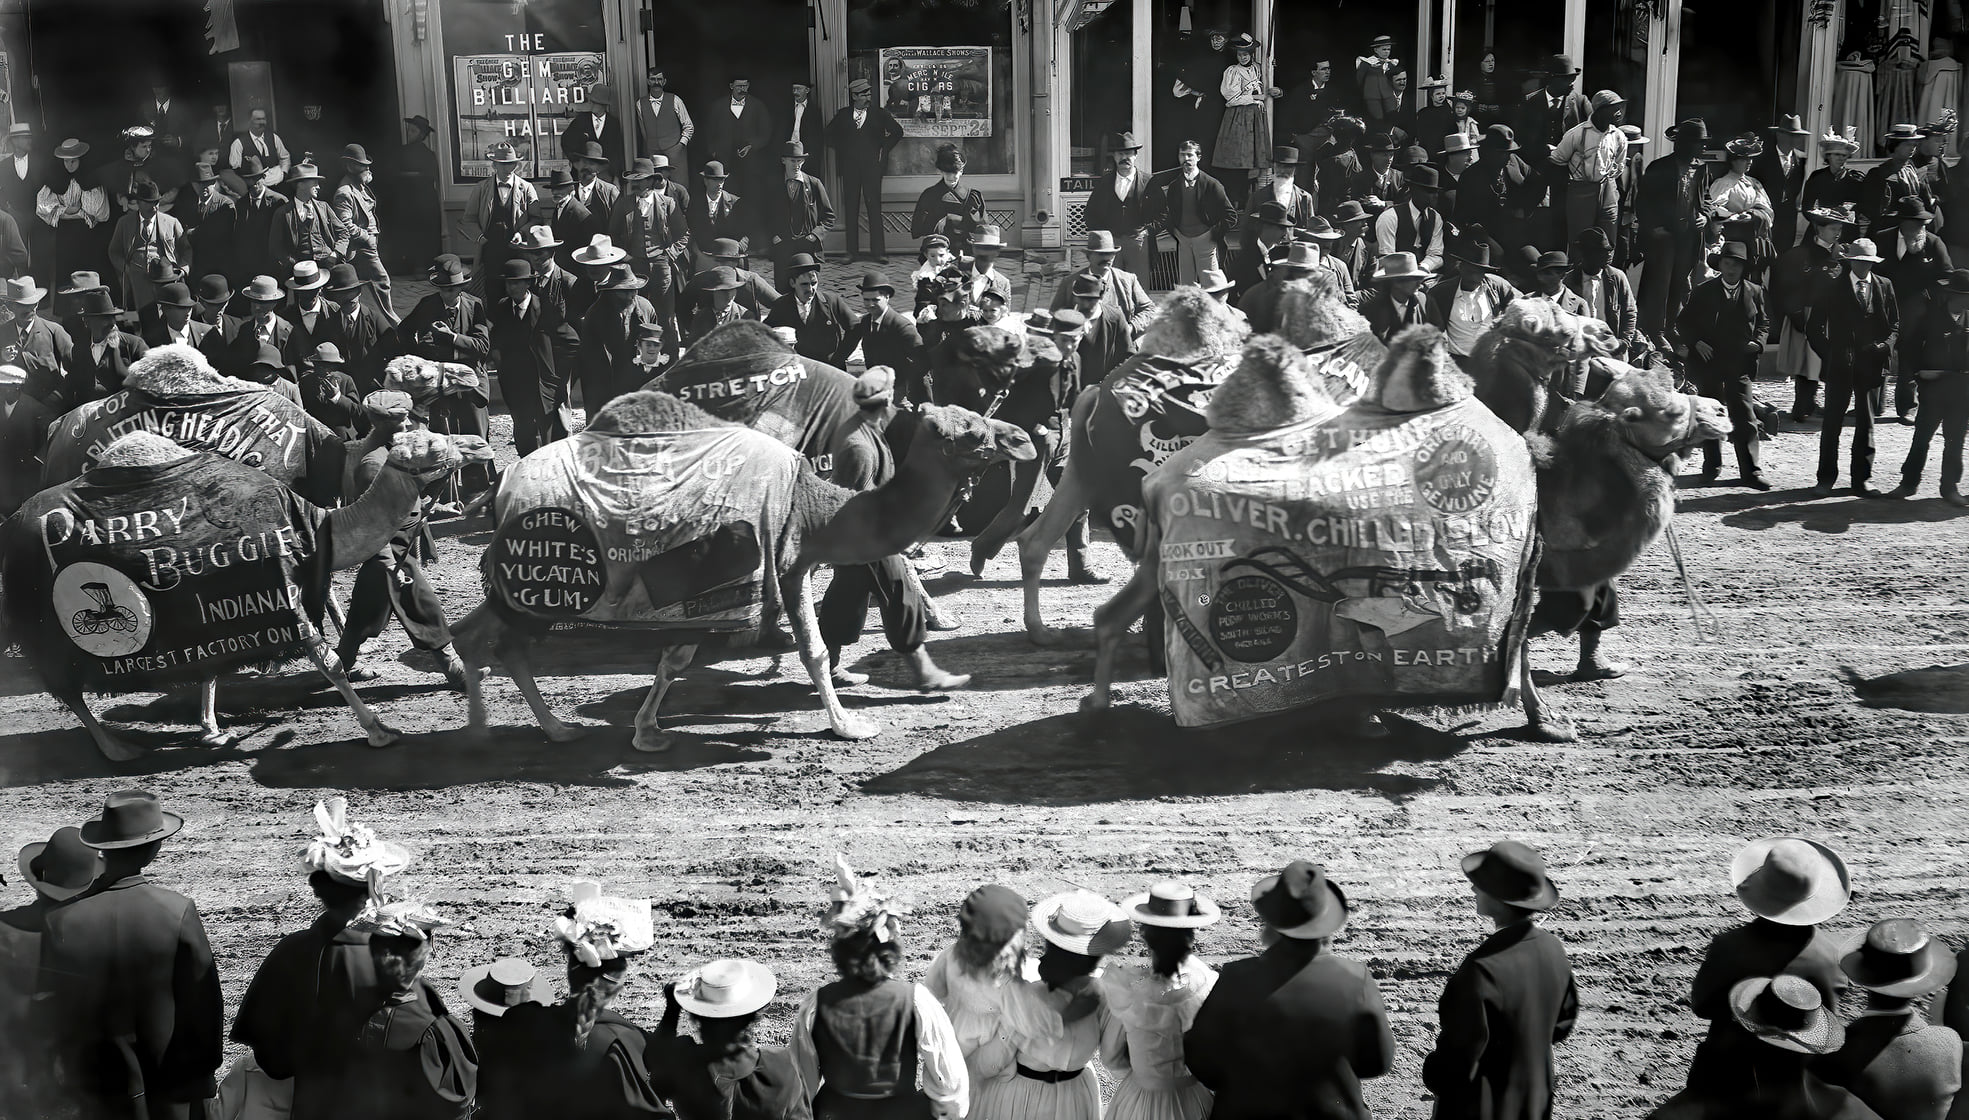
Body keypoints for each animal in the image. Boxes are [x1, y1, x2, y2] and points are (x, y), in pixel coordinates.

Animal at [0, 427, 476, 759]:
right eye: (434, 446)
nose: (475, 444)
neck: (317, 526)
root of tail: (12, 523)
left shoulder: (216, 606)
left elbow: (211, 665)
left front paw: (212, 729)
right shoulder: (280, 591)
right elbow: (330, 663)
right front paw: (379, 731)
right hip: (45, 622)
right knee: (67, 687)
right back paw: (117, 749)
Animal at [452, 391, 1039, 751]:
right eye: (971, 432)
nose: (1023, 438)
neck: (817, 507)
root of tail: (502, 485)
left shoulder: (740, 578)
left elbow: (677, 658)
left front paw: (647, 730)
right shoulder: (773, 568)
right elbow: (812, 650)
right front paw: (850, 724)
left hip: (521, 585)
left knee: (481, 634)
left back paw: (541, 728)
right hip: (549, 580)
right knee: (497, 639)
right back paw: (506, 729)